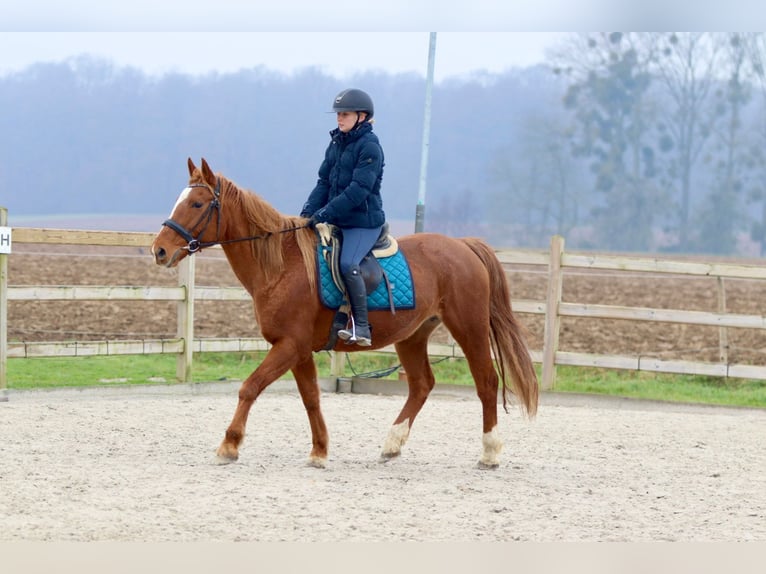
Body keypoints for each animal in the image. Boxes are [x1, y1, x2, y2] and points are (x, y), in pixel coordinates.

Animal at [151, 158, 538, 469]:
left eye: (197, 203)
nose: (159, 250)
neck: (281, 266)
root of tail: (464, 246)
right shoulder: (298, 350)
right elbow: (311, 399)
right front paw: (319, 451)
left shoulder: (289, 345)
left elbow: (250, 388)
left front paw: (229, 446)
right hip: (413, 336)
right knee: (421, 385)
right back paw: (392, 444)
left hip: (469, 328)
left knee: (486, 382)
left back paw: (489, 452)